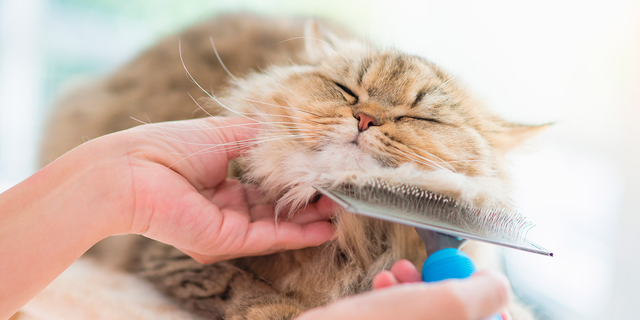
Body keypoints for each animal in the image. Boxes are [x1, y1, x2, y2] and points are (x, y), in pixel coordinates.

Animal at [40, 13, 540, 320]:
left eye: (419, 117)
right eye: (347, 91)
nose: (365, 118)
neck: (348, 242)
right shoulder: (166, 251)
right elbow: (233, 282)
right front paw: (275, 308)